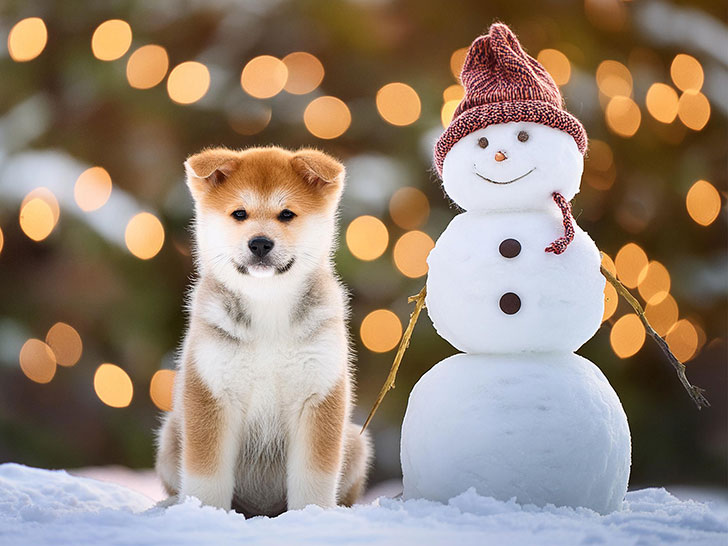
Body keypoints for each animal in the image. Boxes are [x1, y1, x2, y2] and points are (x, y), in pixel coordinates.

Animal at [154, 144, 370, 516]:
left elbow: (314, 477)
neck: (268, 305)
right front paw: (205, 514)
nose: (259, 243)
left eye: (286, 214)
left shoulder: (318, 393)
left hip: (355, 441)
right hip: (170, 436)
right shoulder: (211, 390)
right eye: (239, 213)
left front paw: (312, 515)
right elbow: (206, 475)